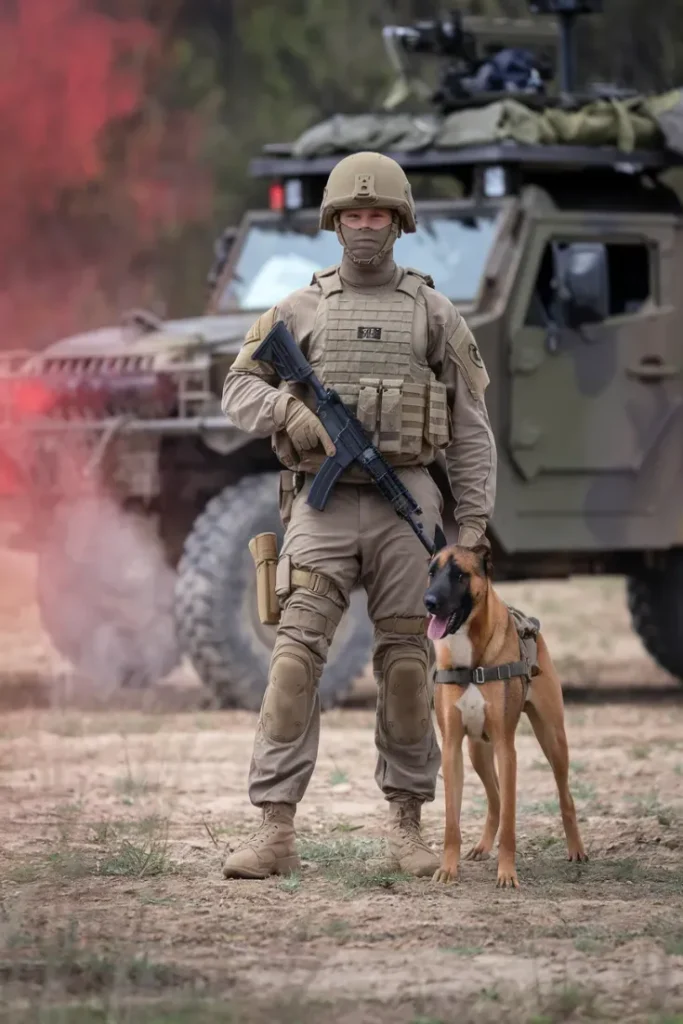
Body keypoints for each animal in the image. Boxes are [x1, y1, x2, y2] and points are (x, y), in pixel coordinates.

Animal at [421, 544, 589, 888]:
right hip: (477, 751)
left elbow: (511, 821)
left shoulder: (505, 747)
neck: (470, 658)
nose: (428, 602)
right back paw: (483, 846)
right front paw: (447, 868)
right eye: (432, 572)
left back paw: (576, 848)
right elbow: (451, 822)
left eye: (459, 575)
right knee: (495, 798)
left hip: (552, 739)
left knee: (564, 796)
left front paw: (507, 873)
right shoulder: (452, 748)